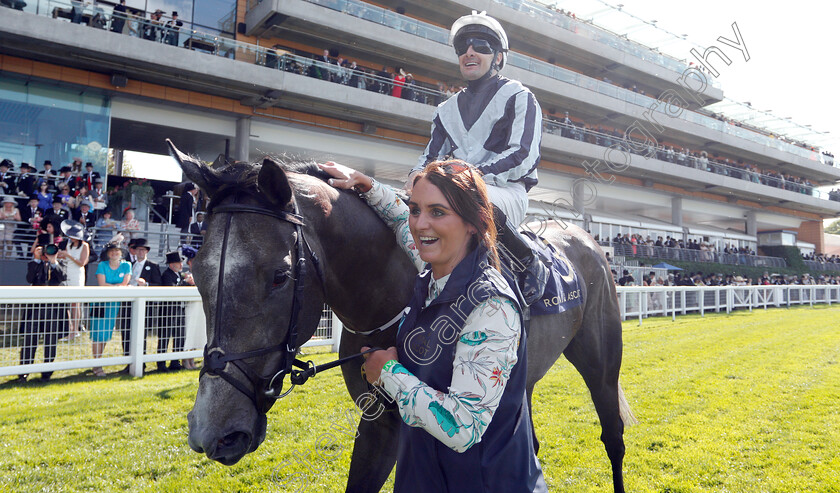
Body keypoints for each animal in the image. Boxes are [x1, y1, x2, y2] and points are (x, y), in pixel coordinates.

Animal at [174, 139, 632, 492]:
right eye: (197, 272)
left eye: (279, 276)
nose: (214, 432)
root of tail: (586, 238)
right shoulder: (374, 419)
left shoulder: (397, 421)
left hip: (602, 364)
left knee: (613, 437)